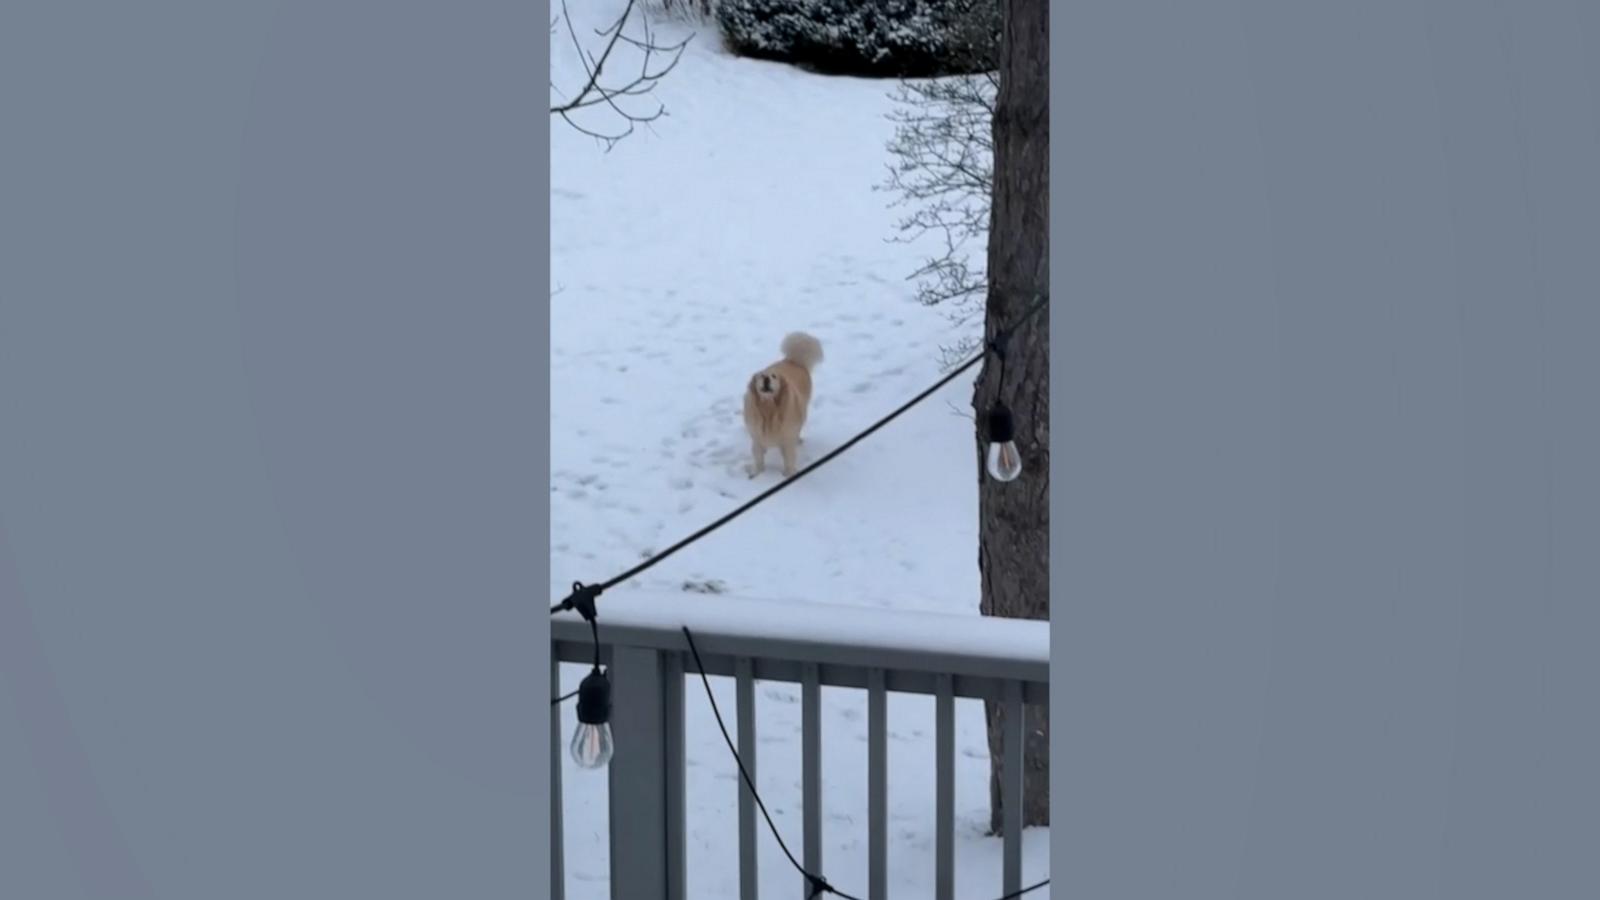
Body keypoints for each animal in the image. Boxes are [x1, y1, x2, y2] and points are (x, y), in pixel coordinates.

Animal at [742, 331, 825, 477]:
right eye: (760, 376)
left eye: (774, 376)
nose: (766, 378)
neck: (768, 409)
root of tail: (793, 360)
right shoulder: (757, 437)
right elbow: (758, 458)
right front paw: (757, 473)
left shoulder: (787, 439)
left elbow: (789, 459)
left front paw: (789, 474)